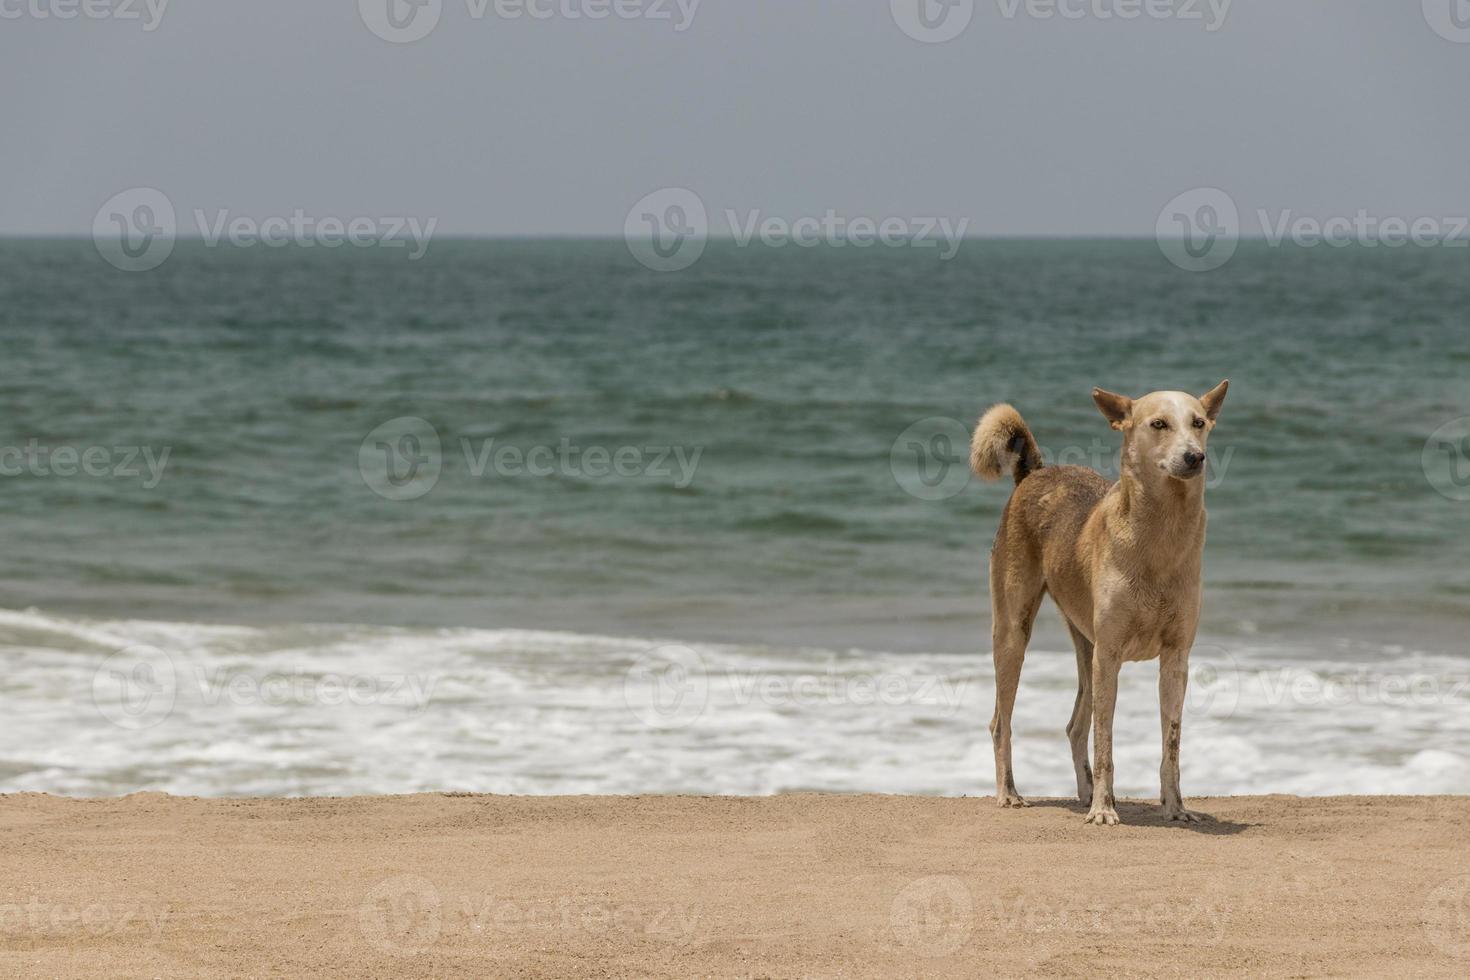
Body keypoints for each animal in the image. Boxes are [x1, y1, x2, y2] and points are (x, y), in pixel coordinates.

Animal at [964, 382, 1228, 828]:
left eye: (1199, 423)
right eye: (1159, 424)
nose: (1195, 456)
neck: (1159, 540)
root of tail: (1035, 472)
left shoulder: (1176, 658)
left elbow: (1171, 744)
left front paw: (1175, 807)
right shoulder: (1111, 655)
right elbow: (1105, 740)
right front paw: (1103, 810)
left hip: (1085, 646)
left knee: (1074, 725)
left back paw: (1085, 792)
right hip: (1015, 633)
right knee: (1001, 722)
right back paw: (1011, 793)